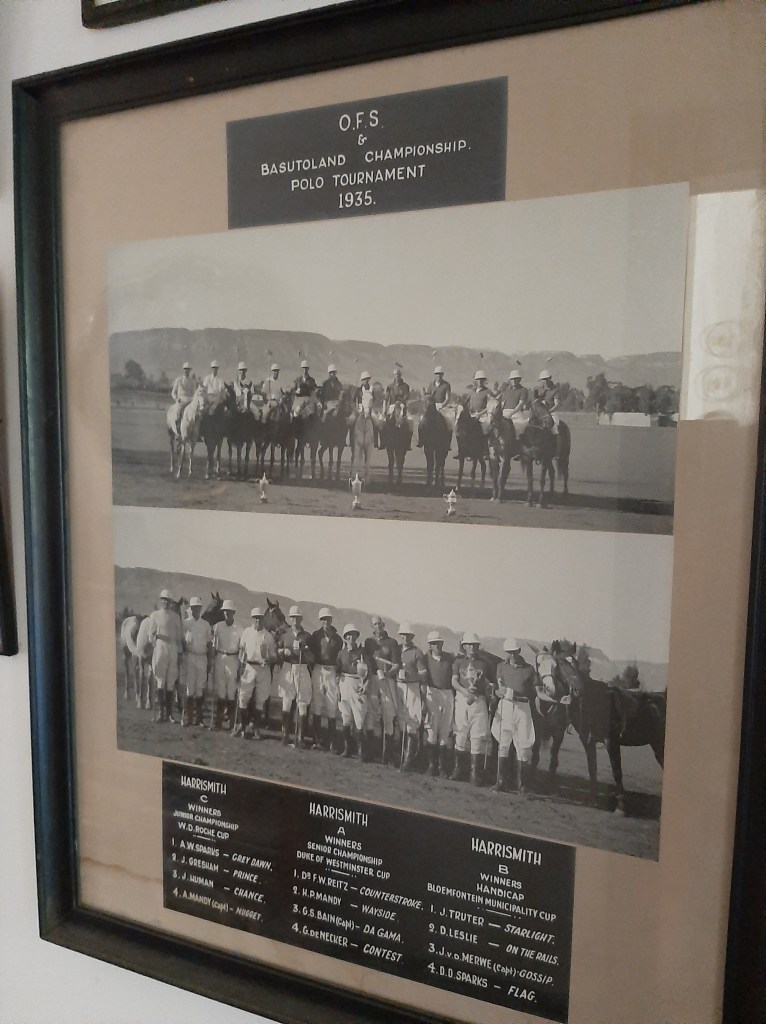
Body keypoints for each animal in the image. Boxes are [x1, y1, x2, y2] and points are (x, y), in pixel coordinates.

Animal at [553, 640, 666, 815]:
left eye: (576, 663)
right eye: (561, 662)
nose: (578, 689)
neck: (594, 701)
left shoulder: (611, 741)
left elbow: (617, 772)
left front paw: (621, 807)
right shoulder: (588, 741)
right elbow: (592, 768)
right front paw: (594, 800)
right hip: (657, 744)